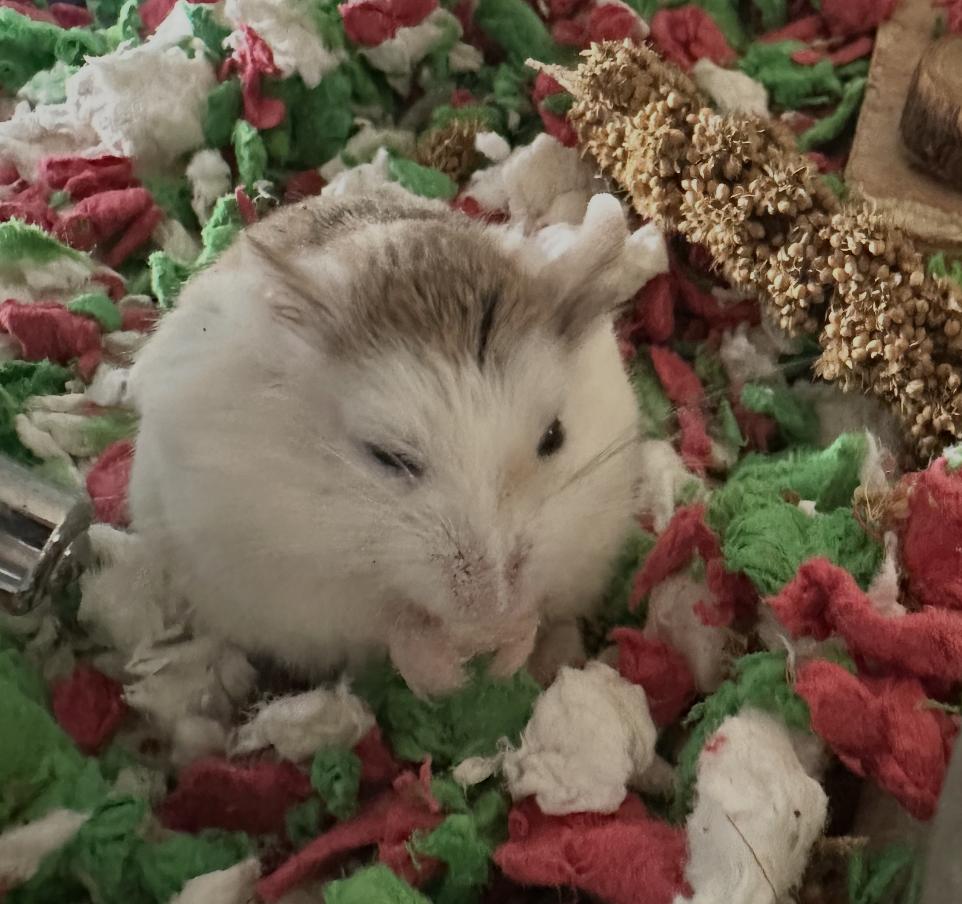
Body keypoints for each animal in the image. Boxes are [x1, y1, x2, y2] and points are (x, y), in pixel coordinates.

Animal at [127, 193, 646, 696]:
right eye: (388, 457)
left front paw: (507, 651)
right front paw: (448, 678)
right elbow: (389, 620)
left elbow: (539, 600)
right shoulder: (295, 578)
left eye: (554, 437)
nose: (489, 614)